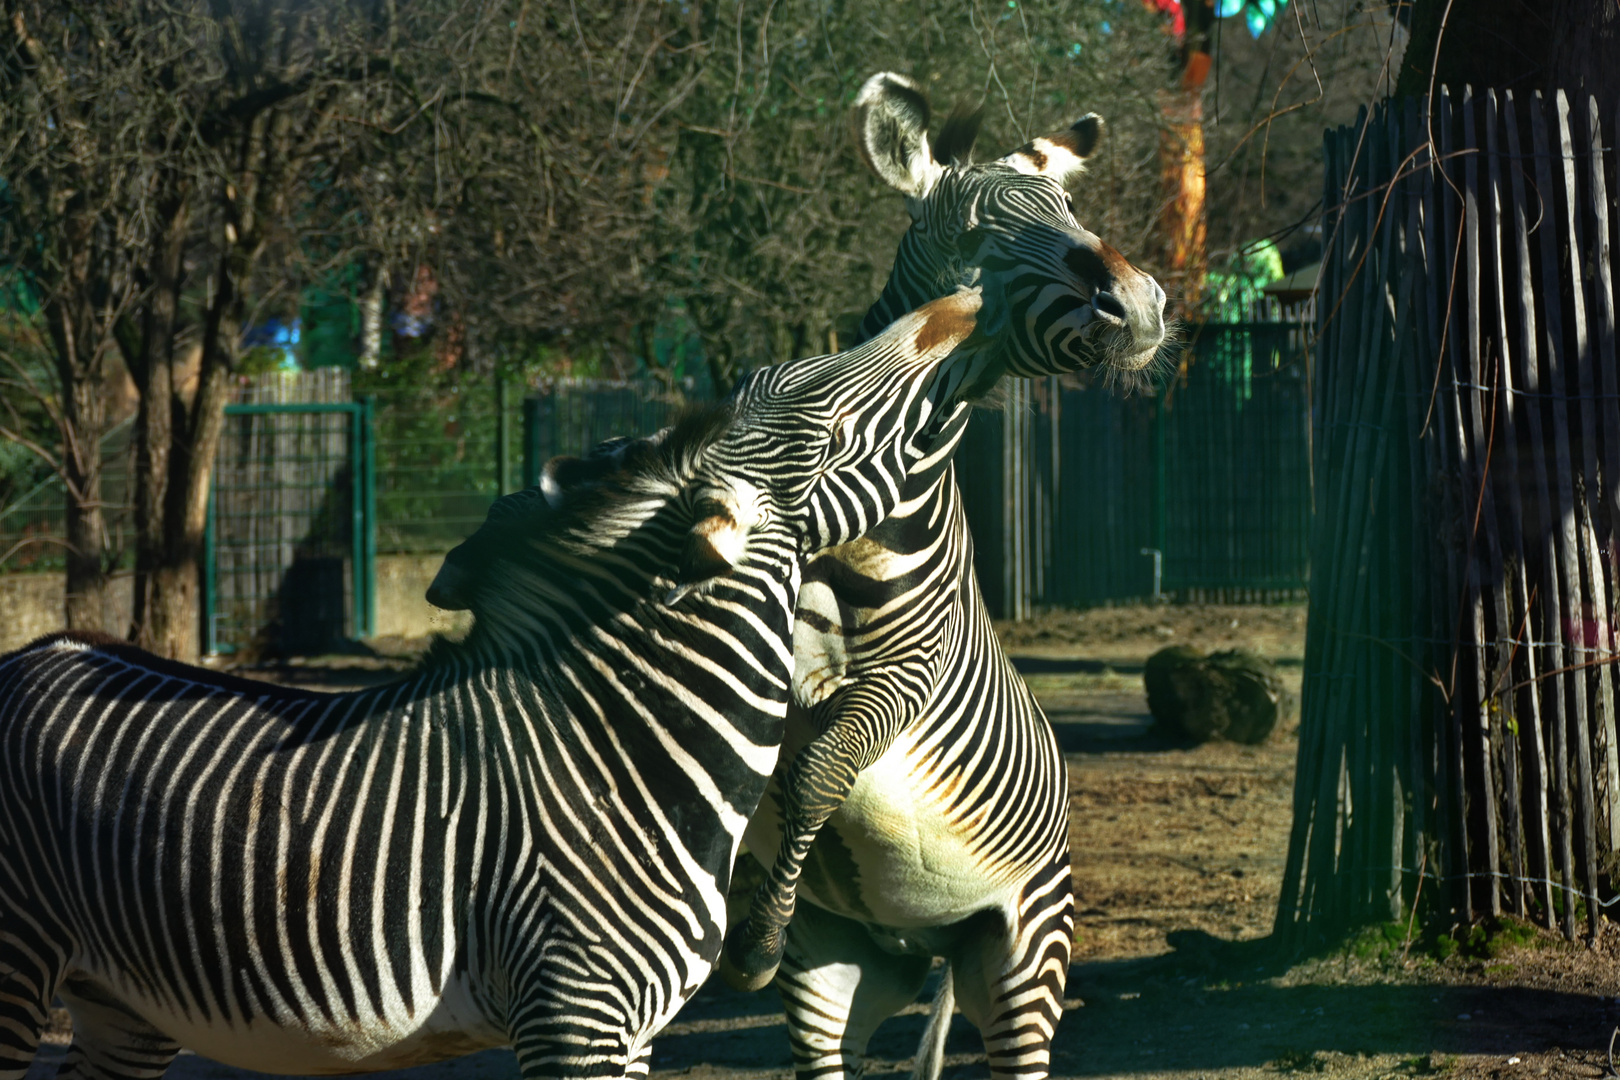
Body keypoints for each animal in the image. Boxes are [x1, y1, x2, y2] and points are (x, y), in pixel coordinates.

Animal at [0, 291, 1004, 1080]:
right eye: (828, 436)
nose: (963, 305)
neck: (626, 753)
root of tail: (36, 651)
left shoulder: (630, 1035)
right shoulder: (573, 1019)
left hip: (118, 1003)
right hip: (18, 966)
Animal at [430, 71, 1166, 1080]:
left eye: (1070, 212)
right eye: (981, 233)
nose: (1140, 304)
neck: (851, 539)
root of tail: (928, 944)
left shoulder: (910, 678)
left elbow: (817, 768)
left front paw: (749, 933)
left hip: (1022, 950)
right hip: (842, 972)